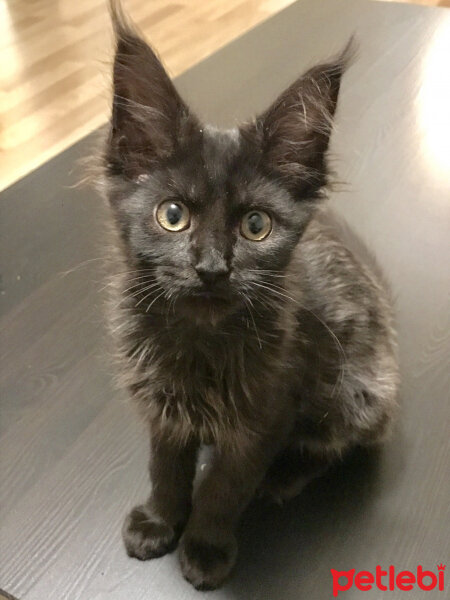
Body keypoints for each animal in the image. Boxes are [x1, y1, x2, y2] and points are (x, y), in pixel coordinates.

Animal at [101, 0, 398, 592]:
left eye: (256, 226)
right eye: (172, 216)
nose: (212, 268)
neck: (198, 341)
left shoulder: (265, 415)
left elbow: (224, 487)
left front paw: (205, 547)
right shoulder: (162, 406)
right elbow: (165, 468)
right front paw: (160, 521)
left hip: (359, 392)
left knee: (340, 443)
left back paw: (283, 477)